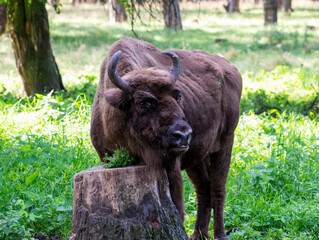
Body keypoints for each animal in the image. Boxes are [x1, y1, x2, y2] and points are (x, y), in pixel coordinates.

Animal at [90, 36, 242, 239]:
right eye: (142, 102)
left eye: (178, 96)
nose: (183, 135)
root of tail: (230, 68)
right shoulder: (105, 157)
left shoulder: (171, 166)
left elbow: (177, 207)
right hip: (197, 158)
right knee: (203, 189)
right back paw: (198, 234)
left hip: (225, 144)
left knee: (218, 189)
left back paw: (219, 235)